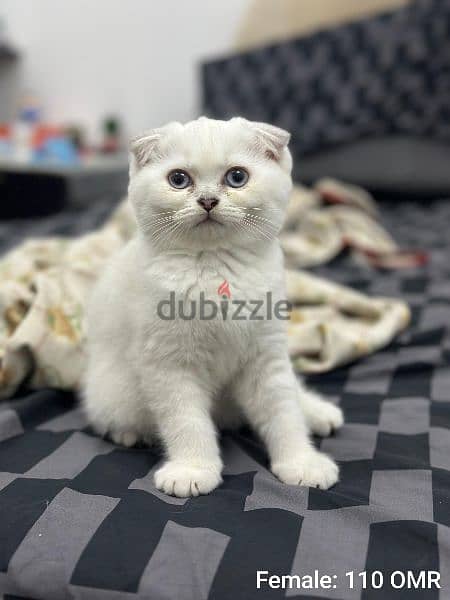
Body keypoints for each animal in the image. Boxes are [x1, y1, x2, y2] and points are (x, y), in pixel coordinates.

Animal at [83, 116, 342, 496]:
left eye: (237, 177)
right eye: (178, 179)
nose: (207, 200)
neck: (216, 266)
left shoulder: (266, 354)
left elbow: (283, 412)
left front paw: (301, 462)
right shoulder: (168, 364)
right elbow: (187, 421)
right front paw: (192, 470)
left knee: (293, 394)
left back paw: (318, 411)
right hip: (111, 391)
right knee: (113, 415)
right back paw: (131, 434)